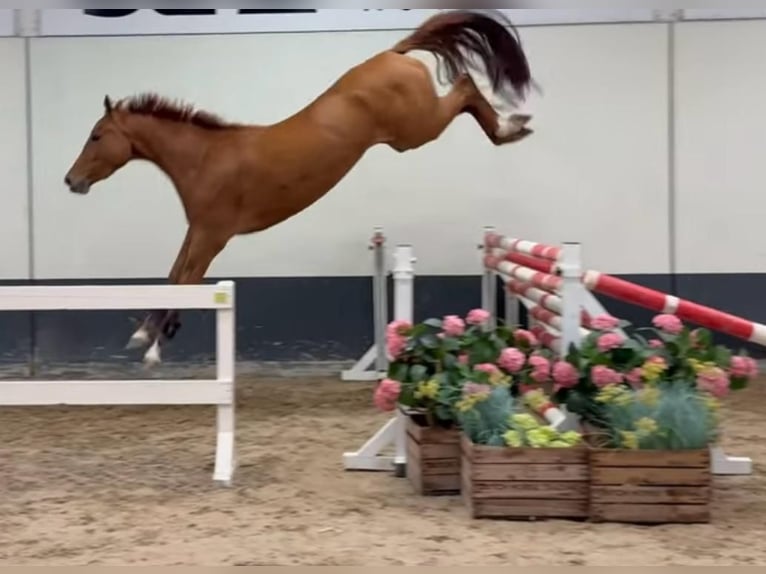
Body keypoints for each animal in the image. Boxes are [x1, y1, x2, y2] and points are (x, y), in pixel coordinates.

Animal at [63, 9, 536, 364]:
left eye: (97, 136)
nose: (71, 180)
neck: (206, 158)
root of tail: (393, 53)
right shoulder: (198, 231)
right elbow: (173, 275)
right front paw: (148, 334)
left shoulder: (213, 235)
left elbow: (183, 280)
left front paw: (152, 347)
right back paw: (514, 127)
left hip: (416, 130)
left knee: (465, 87)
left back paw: (511, 126)